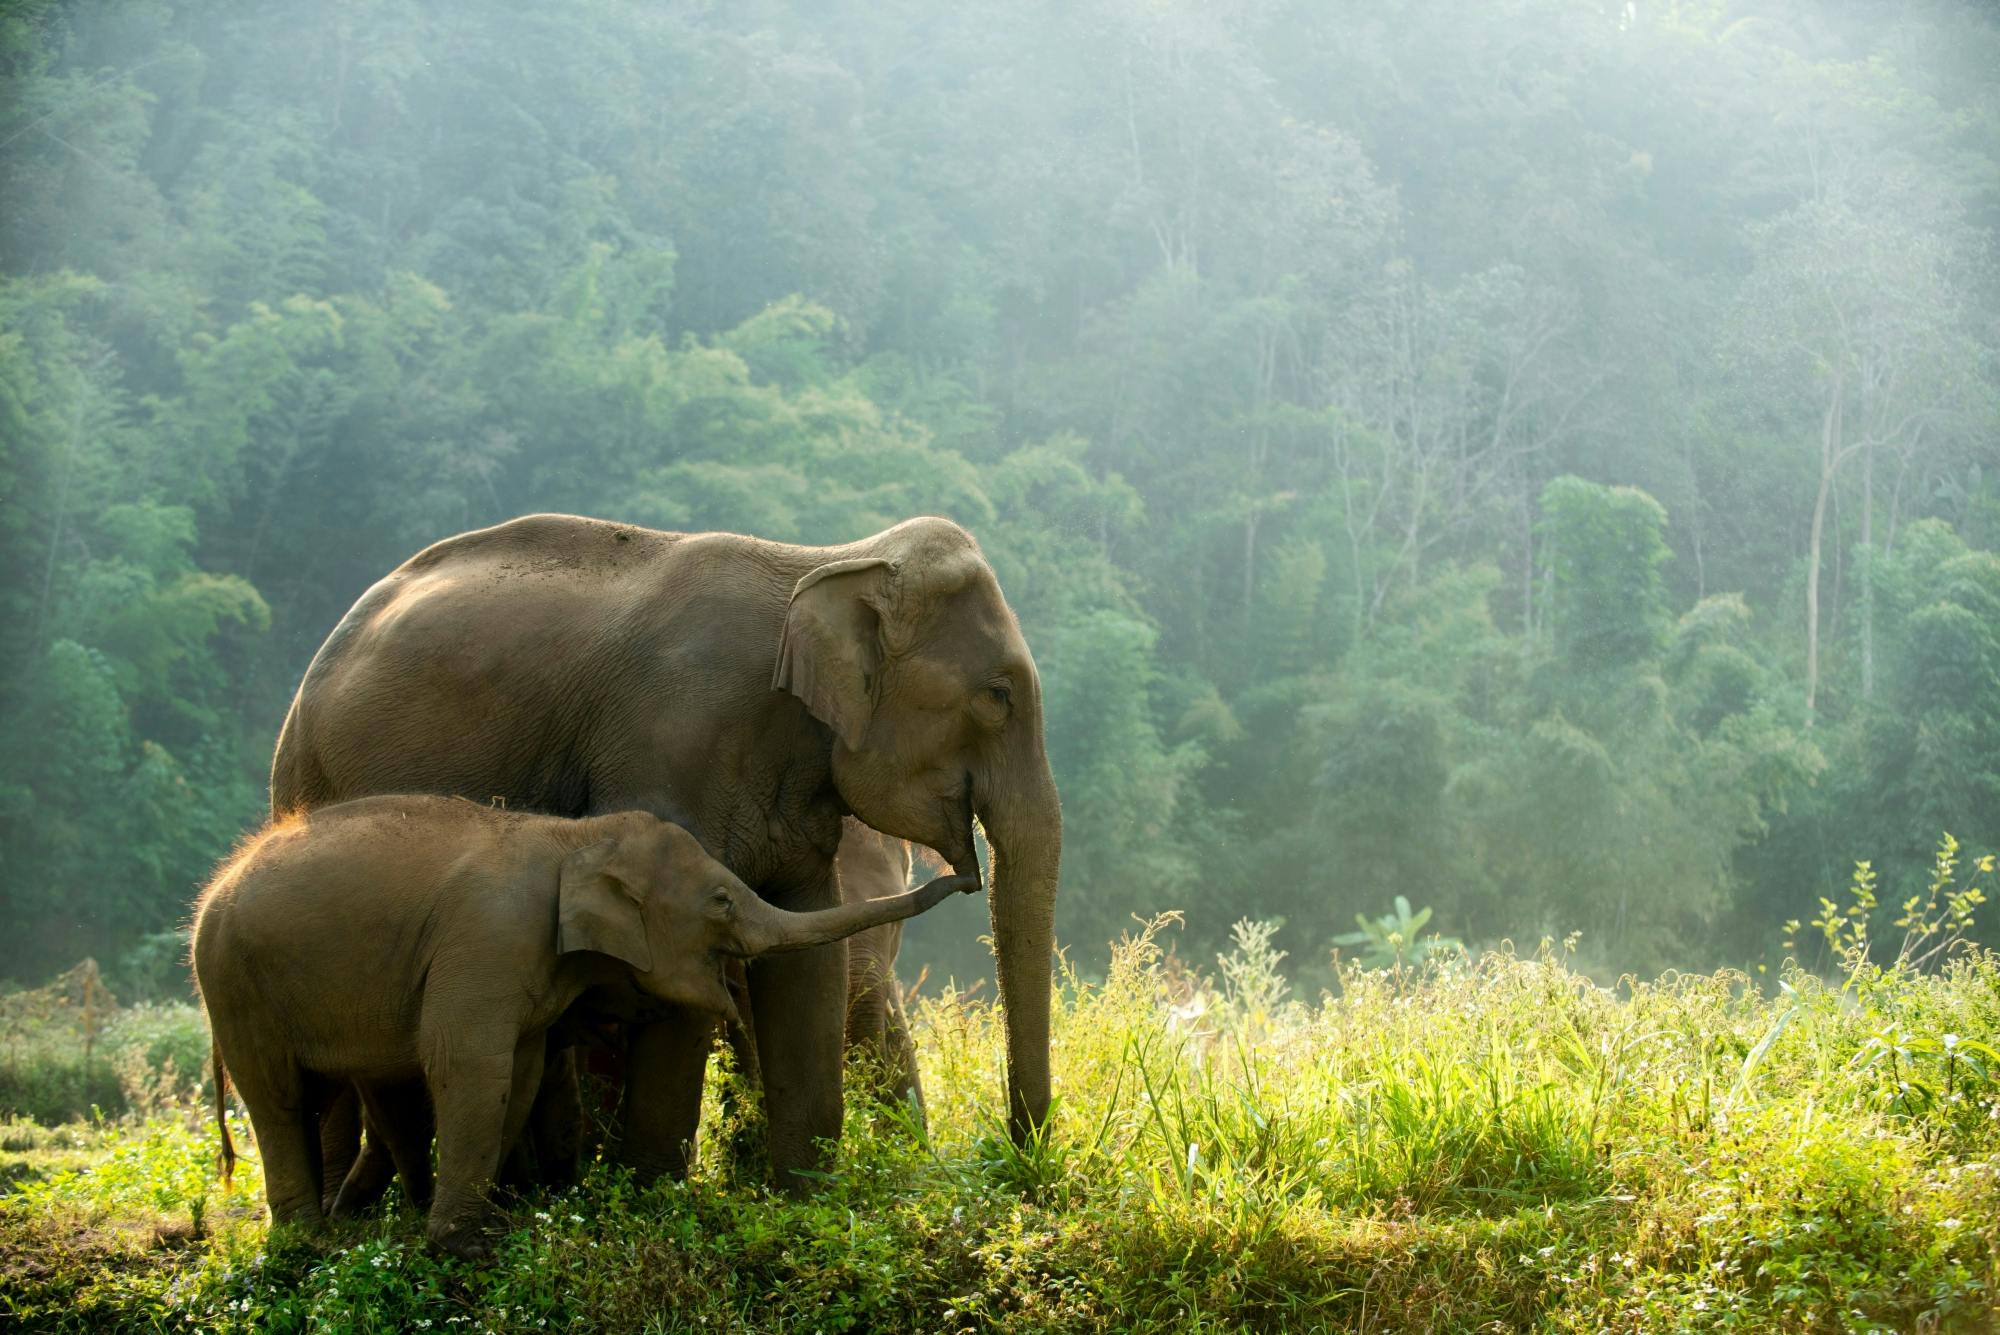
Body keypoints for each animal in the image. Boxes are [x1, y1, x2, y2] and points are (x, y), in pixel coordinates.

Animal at [193, 795, 977, 1257]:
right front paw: (458, 1248)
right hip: (231, 978)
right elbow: (468, 1062)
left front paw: (501, 1220)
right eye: (722, 901)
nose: (965, 872)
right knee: (278, 1097)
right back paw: (304, 1247)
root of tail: (213, 887)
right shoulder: (488, 938)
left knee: (317, 1092)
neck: (573, 839)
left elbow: (521, 1067)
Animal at [270, 513, 1061, 1192]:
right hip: (308, 784)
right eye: (997, 696)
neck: (828, 559)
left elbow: (808, 959)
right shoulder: (673, 750)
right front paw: (653, 1198)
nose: (1017, 1160)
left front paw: (804, 1203)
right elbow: (679, 961)